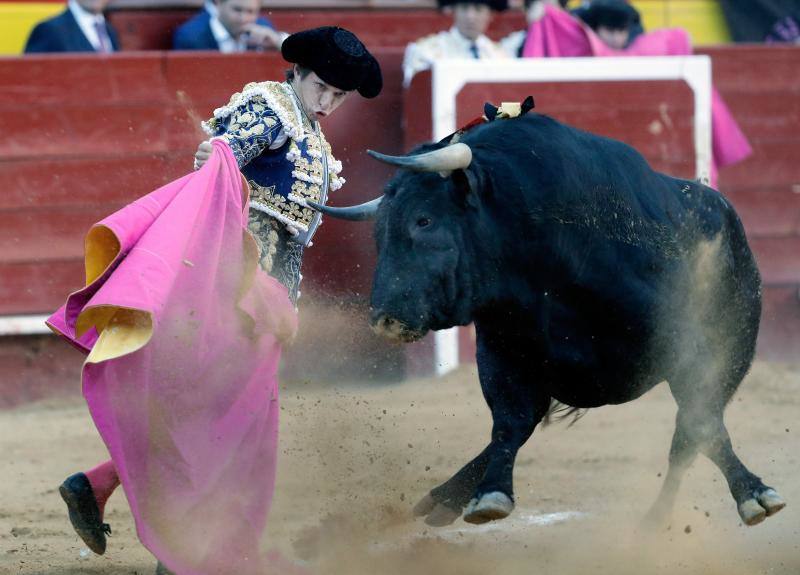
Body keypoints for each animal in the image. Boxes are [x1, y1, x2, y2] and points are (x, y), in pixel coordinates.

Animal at [310, 111, 784, 528]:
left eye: (424, 220)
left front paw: (754, 495)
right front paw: (490, 494)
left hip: (734, 351)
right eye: (379, 232)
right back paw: (446, 497)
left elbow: (700, 424)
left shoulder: (690, 349)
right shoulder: (502, 350)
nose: (384, 320)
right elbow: (509, 424)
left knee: (688, 433)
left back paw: (656, 520)